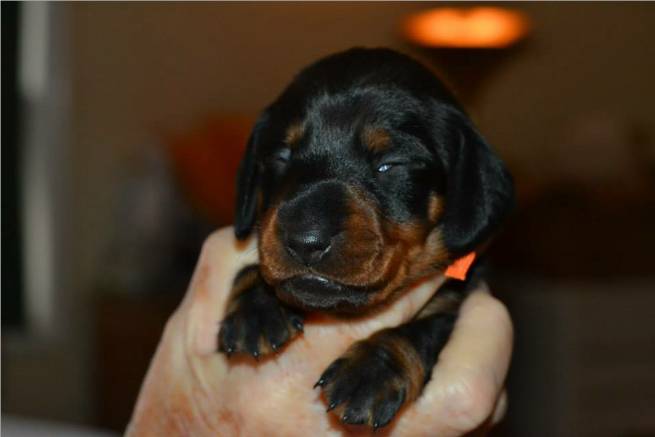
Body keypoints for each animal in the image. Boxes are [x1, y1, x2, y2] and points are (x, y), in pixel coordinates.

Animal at [218, 47, 516, 430]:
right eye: (280, 156)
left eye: (391, 164)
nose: (305, 241)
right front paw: (256, 306)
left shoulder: (460, 292)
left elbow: (424, 326)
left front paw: (372, 372)